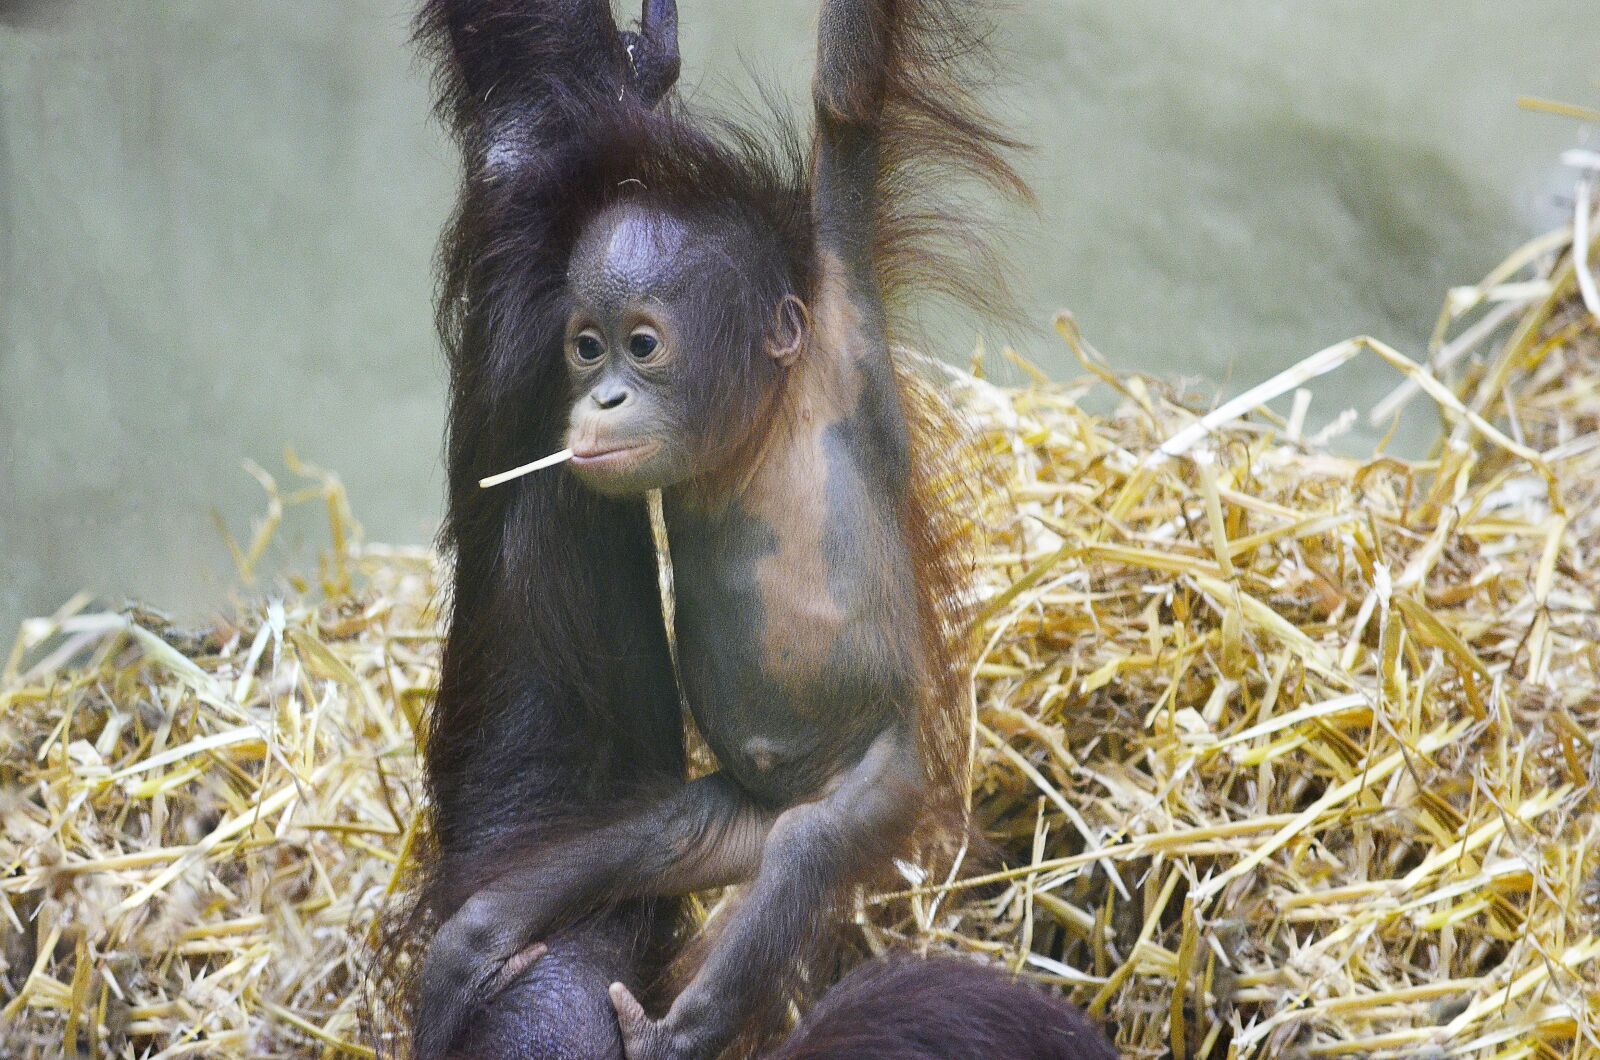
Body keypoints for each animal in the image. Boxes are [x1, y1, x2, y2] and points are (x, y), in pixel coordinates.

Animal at [401, 0, 1029, 1056]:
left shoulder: (840, 321)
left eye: (644, 345)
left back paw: (674, 1033)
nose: (603, 396)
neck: (758, 431)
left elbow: (845, 101)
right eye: (587, 346)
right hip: (721, 814)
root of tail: (774, 801)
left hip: (877, 781)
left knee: (808, 854)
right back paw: (468, 954)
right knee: (647, 840)